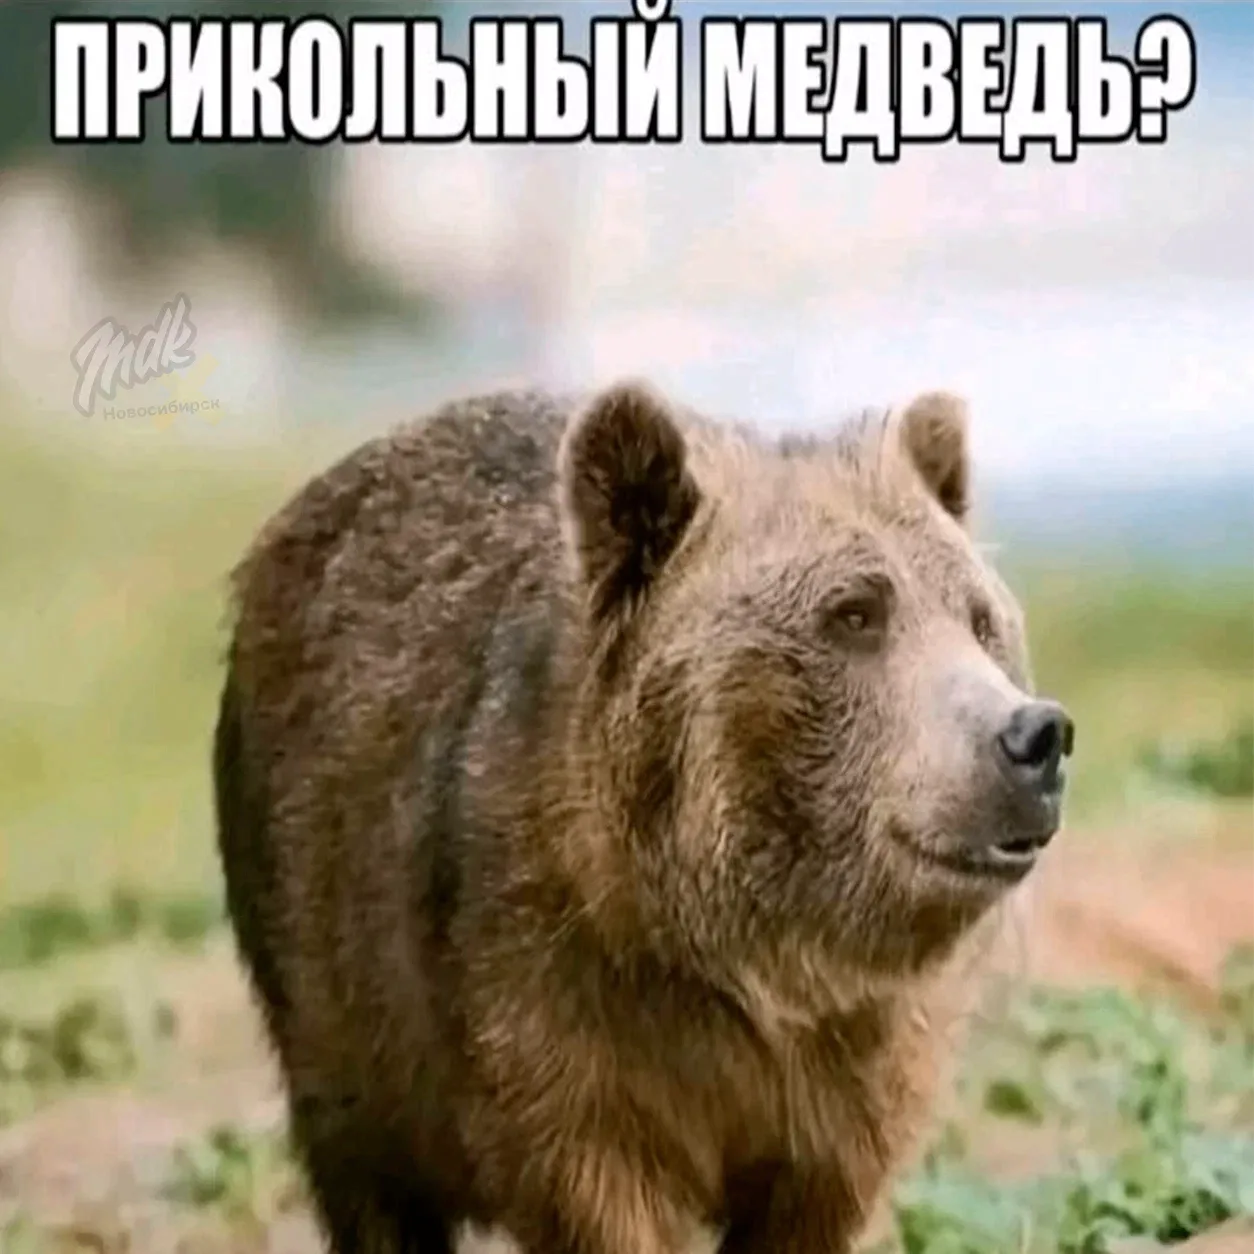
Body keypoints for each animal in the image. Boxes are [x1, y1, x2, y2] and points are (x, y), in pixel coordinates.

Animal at [213, 380, 1074, 1254]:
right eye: (855, 613)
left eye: (979, 619)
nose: (1031, 736)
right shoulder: (542, 1001)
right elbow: (594, 1191)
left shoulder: (857, 1066)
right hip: (323, 963)